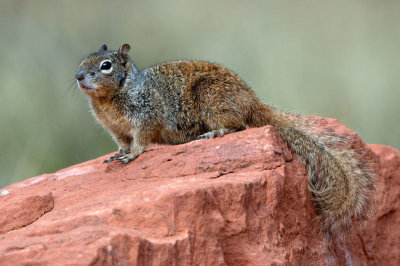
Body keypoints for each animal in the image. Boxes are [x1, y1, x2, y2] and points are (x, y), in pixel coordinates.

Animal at [75, 43, 376, 235]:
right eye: (81, 62)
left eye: (105, 66)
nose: (77, 76)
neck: (108, 99)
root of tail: (252, 101)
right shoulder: (116, 130)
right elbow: (121, 143)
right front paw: (117, 154)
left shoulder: (145, 117)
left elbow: (140, 142)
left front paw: (132, 154)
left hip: (212, 99)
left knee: (238, 125)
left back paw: (215, 132)